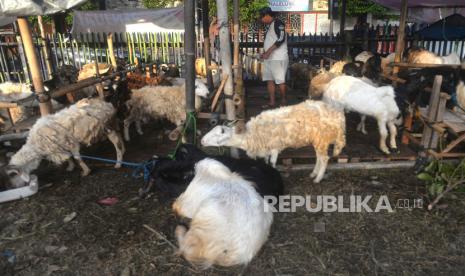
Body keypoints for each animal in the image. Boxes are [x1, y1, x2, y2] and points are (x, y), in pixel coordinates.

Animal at [199, 100, 344, 182]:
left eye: (222, 132)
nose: (202, 141)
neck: (251, 135)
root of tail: (338, 114)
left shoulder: (275, 147)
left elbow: (273, 163)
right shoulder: (266, 148)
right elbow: (266, 161)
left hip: (322, 138)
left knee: (324, 158)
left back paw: (318, 178)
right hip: (318, 140)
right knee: (319, 157)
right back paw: (314, 174)